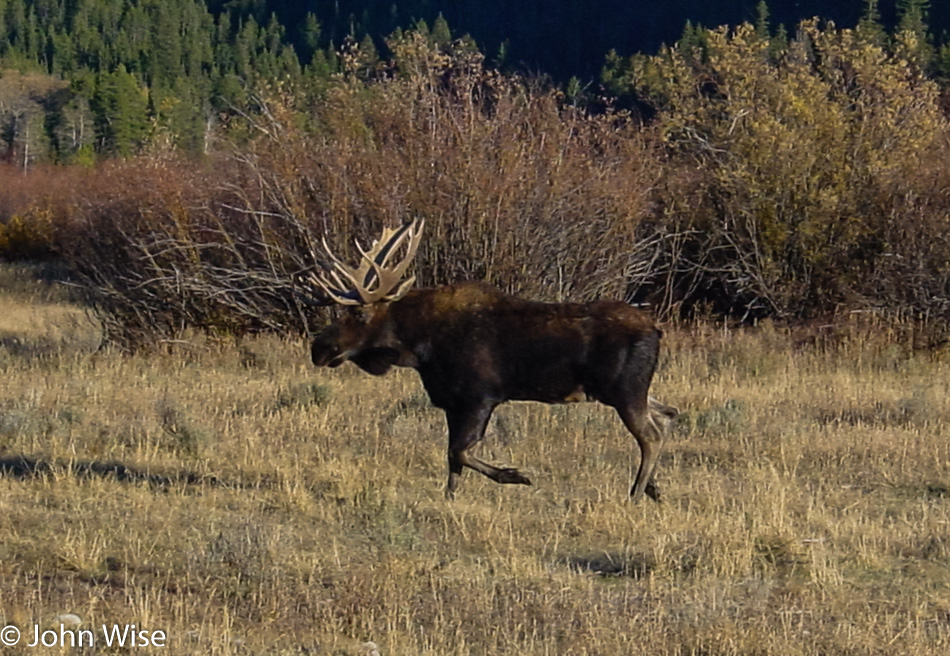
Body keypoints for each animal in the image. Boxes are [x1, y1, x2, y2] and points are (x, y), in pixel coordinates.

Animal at [304, 218, 676, 500]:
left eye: (360, 315)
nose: (318, 348)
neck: (421, 347)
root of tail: (657, 329)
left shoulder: (481, 396)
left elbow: (460, 451)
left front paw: (517, 475)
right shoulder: (452, 403)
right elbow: (451, 459)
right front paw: (449, 499)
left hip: (624, 391)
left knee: (651, 434)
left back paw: (636, 493)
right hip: (626, 391)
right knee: (667, 414)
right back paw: (653, 488)